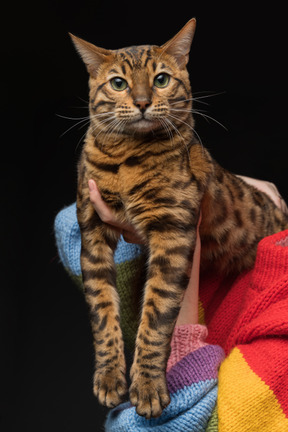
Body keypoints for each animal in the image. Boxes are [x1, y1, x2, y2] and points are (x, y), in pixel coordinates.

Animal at [70, 19, 288, 418]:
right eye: (118, 83)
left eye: (160, 79)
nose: (142, 102)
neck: (126, 159)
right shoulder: (91, 230)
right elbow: (102, 312)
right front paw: (109, 378)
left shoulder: (173, 231)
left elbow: (155, 319)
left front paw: (148, 387)